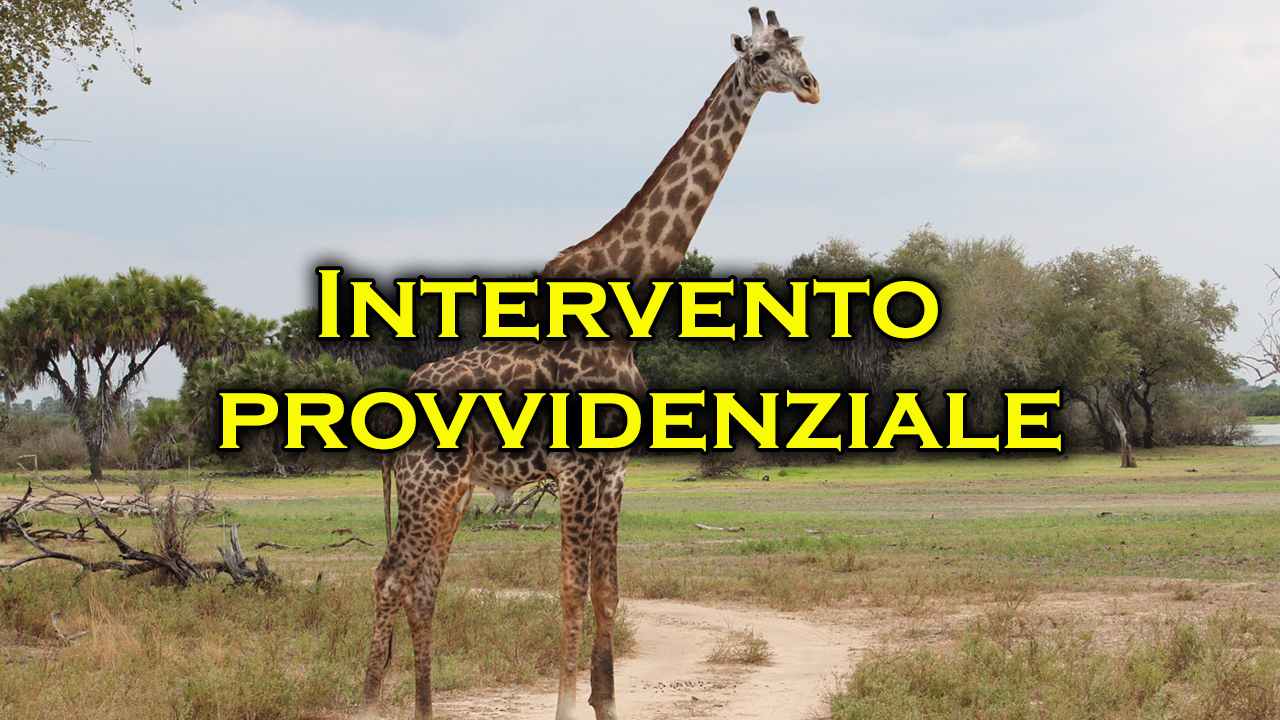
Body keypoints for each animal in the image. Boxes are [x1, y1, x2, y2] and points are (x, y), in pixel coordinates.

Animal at [360, 8, 819, 719]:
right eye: (764, 55)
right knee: (390, 577)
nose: (811, 85)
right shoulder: (576, 471)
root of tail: (397, 400)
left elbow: (607, 592)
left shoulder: (614, 471)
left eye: (800, 46)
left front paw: (604, 702)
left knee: (423, 585)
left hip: (453, 491)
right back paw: (369, 700)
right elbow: (572, 591)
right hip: (425, 486)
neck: (623, 312)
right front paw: (567, 705)